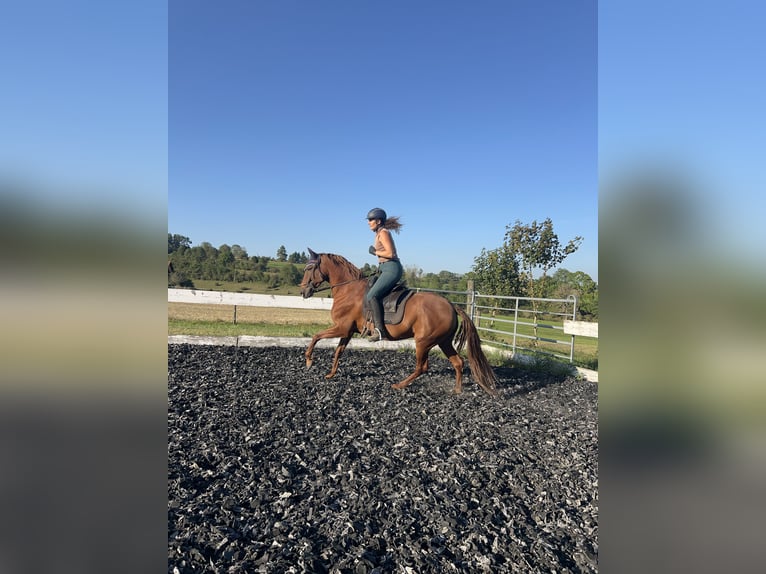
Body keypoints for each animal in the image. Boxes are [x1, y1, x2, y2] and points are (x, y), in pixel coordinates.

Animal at [296, 250, 500, 398]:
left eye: (308, 269)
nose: (303, 292)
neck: (349, 290)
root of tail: (450, 304)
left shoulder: (341, 328)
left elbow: (316, 337)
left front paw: (308, 360)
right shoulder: (347, 331)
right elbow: (338, 351)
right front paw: (331, 374)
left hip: (423, 342)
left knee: (422, 367)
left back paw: (399, 384)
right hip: (443, 342)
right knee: (458, 362)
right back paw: (457, 390)